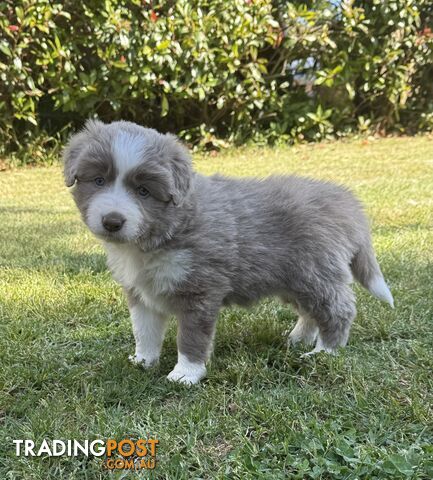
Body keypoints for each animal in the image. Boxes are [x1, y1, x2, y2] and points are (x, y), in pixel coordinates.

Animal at [63, 121, 392, 386]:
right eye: (99, 180)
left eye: (143, 191)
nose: (112, 221)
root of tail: (346, 201)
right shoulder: (141, 292)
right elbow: (144, 331)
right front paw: (143, 362)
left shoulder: (200, 290)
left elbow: (191, 337)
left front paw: (185, 374)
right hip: (295, 280)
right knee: (311, 311)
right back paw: (298, 339)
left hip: (316, 272)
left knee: (338, 309)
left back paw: (324, 352)